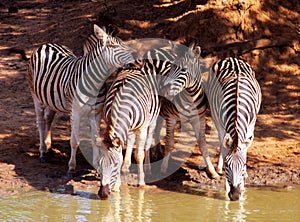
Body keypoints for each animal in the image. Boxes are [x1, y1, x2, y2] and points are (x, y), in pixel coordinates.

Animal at [27, 24, 136, 182]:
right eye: (112, 45)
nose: (135, 61)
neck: (96, 83)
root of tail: (46, 44)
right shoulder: (75, 112)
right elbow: (74, 141)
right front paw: (71, 168)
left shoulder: (96, 113)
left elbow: (95, 140)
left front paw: (97, 167)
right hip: (35, 95)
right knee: (40, 121)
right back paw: (42, 152)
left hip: (52, 99)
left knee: (49, 118)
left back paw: (48, 147)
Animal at [163, 44, 262, 199]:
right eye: (228, 166)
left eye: (244, 165)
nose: (235, 196)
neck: (237, 102)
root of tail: (231, 58)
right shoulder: (220, 123)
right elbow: (223, 147)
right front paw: (226, 186)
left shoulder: (251, 124)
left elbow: (244, 148)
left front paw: (243, 184)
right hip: (215, 117)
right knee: (221, 142)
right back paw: (218, 168)